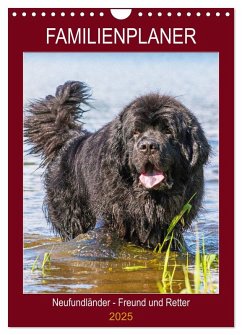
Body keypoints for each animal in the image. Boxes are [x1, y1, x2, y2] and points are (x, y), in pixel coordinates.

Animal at [24, 81, 210, 252]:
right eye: (136, 132)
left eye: (168, 131)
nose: (148, 146)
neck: (151, 196)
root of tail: (71, 139)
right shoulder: (113, 217)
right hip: (71, 213)